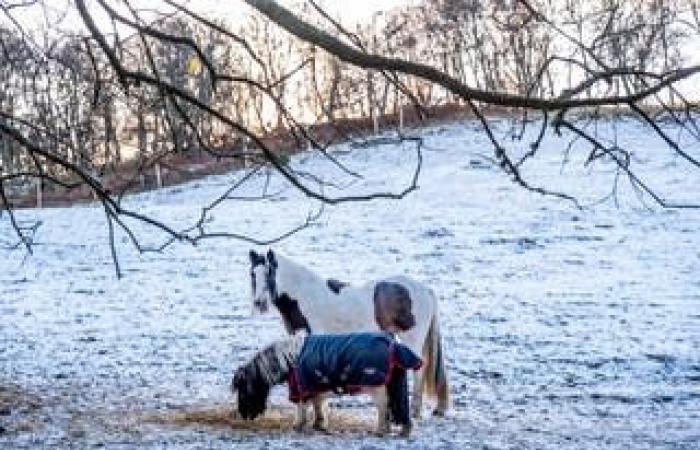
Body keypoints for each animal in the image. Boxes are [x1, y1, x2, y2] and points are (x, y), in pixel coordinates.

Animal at [234, 332, 422, 434]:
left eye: (242, 391)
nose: (244, 415)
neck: (290, 358)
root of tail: (392, 344)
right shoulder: (315, 386)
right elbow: (318, 405)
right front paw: (319, 424)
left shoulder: (301, 388)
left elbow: (302, 407)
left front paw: (298, 425)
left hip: (376, 387)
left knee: (383, 406)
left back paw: (381, 430)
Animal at [249, 248, 452, 416]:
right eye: (252, 274)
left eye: (270, 273)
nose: (259, 303)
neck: (305, 295)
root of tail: (425, 289)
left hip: (413, 338)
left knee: (419, 370)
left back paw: (416, 411)